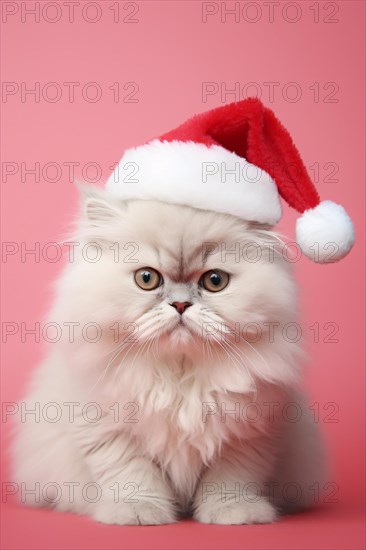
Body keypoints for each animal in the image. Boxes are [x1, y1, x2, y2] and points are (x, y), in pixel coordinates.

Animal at [12, 188, 324, 528]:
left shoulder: (250, 433)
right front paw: (137, 513)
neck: (179, 373)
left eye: (215, 281)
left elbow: (231, 479)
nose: (181, 304)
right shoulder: (106, 429)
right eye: (147, 278)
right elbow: (132, 475)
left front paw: (235, 513)